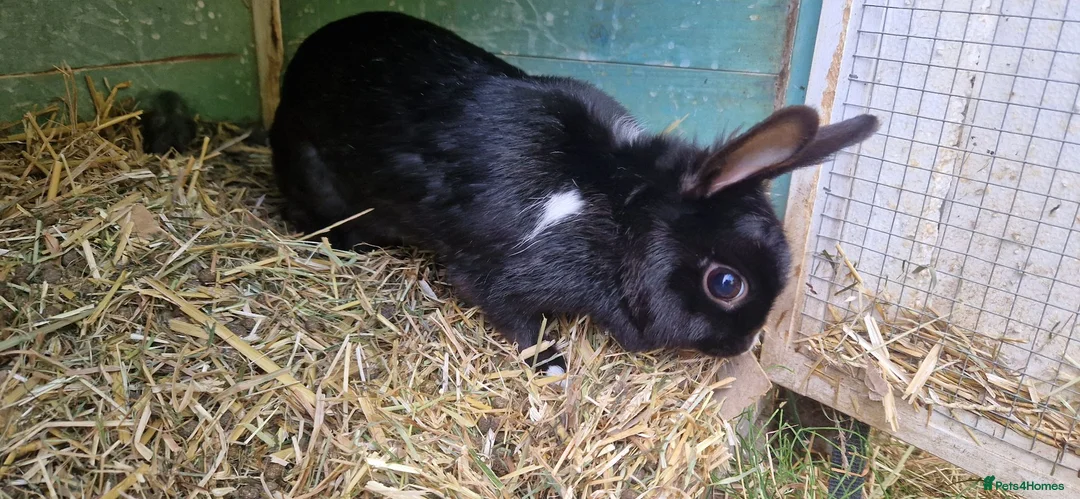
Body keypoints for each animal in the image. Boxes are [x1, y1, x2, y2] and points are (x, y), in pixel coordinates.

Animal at [269, 11, 879, 376]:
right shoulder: (495, 278)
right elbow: (518, 321)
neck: (616, 210)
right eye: (726, 284)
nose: (742, 346)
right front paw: (554, 364)